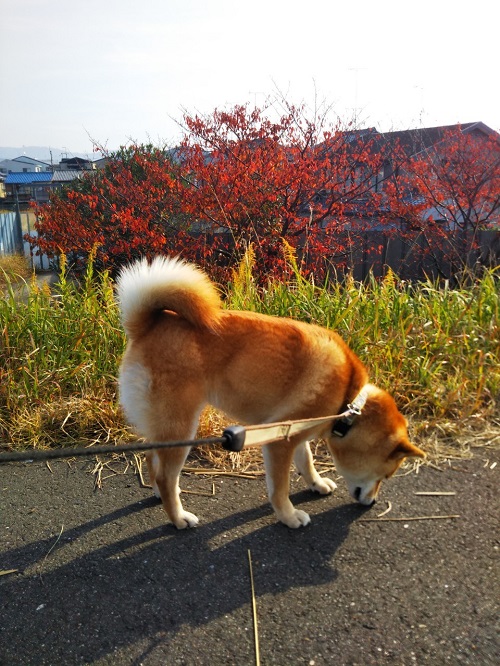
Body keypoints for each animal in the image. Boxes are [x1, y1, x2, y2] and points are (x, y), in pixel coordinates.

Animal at [116, 256, 425, 529]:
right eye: (386, 476)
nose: (373, 503)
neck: (348, 403)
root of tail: (147, 326)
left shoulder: (296, 431)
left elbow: (307, 461)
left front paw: (316, 483)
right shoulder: (279, 441)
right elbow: (280, 489)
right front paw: (289, 516)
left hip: (166, 425)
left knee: (152, 458)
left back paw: (160, 493)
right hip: (181, 426)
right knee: (166, 476)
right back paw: (179, 517)